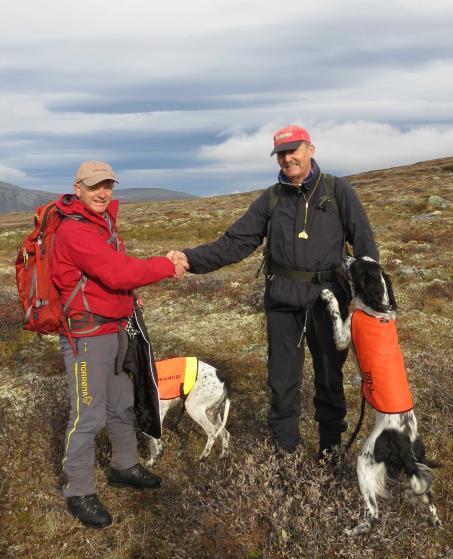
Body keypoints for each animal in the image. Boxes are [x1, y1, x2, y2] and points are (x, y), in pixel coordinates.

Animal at [320, 258, 440, 540]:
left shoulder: (344, 334)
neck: (377, 309)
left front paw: (328, 296)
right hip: (418, 461)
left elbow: (336, 314)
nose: (345, 257)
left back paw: (355, 530)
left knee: (372, 512)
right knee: (429, 499)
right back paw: (436, 522)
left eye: (355, 266)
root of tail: (405, 444)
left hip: (365, 461)